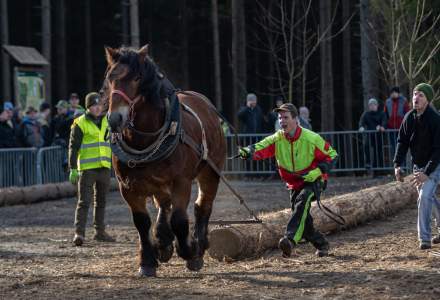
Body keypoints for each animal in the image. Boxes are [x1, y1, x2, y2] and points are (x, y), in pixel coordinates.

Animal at [103, 44, 225, 276]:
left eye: (137, 77)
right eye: (110, 78)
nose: (115, 118)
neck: (144, 139)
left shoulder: (181, 181)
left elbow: (179, 220)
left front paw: (189, 251)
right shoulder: (127, 186)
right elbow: (141, 222)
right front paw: (147, 261)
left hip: (210, 171)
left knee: (202, 206)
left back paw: (198, 246)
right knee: (164, 203)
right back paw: (163, 241)